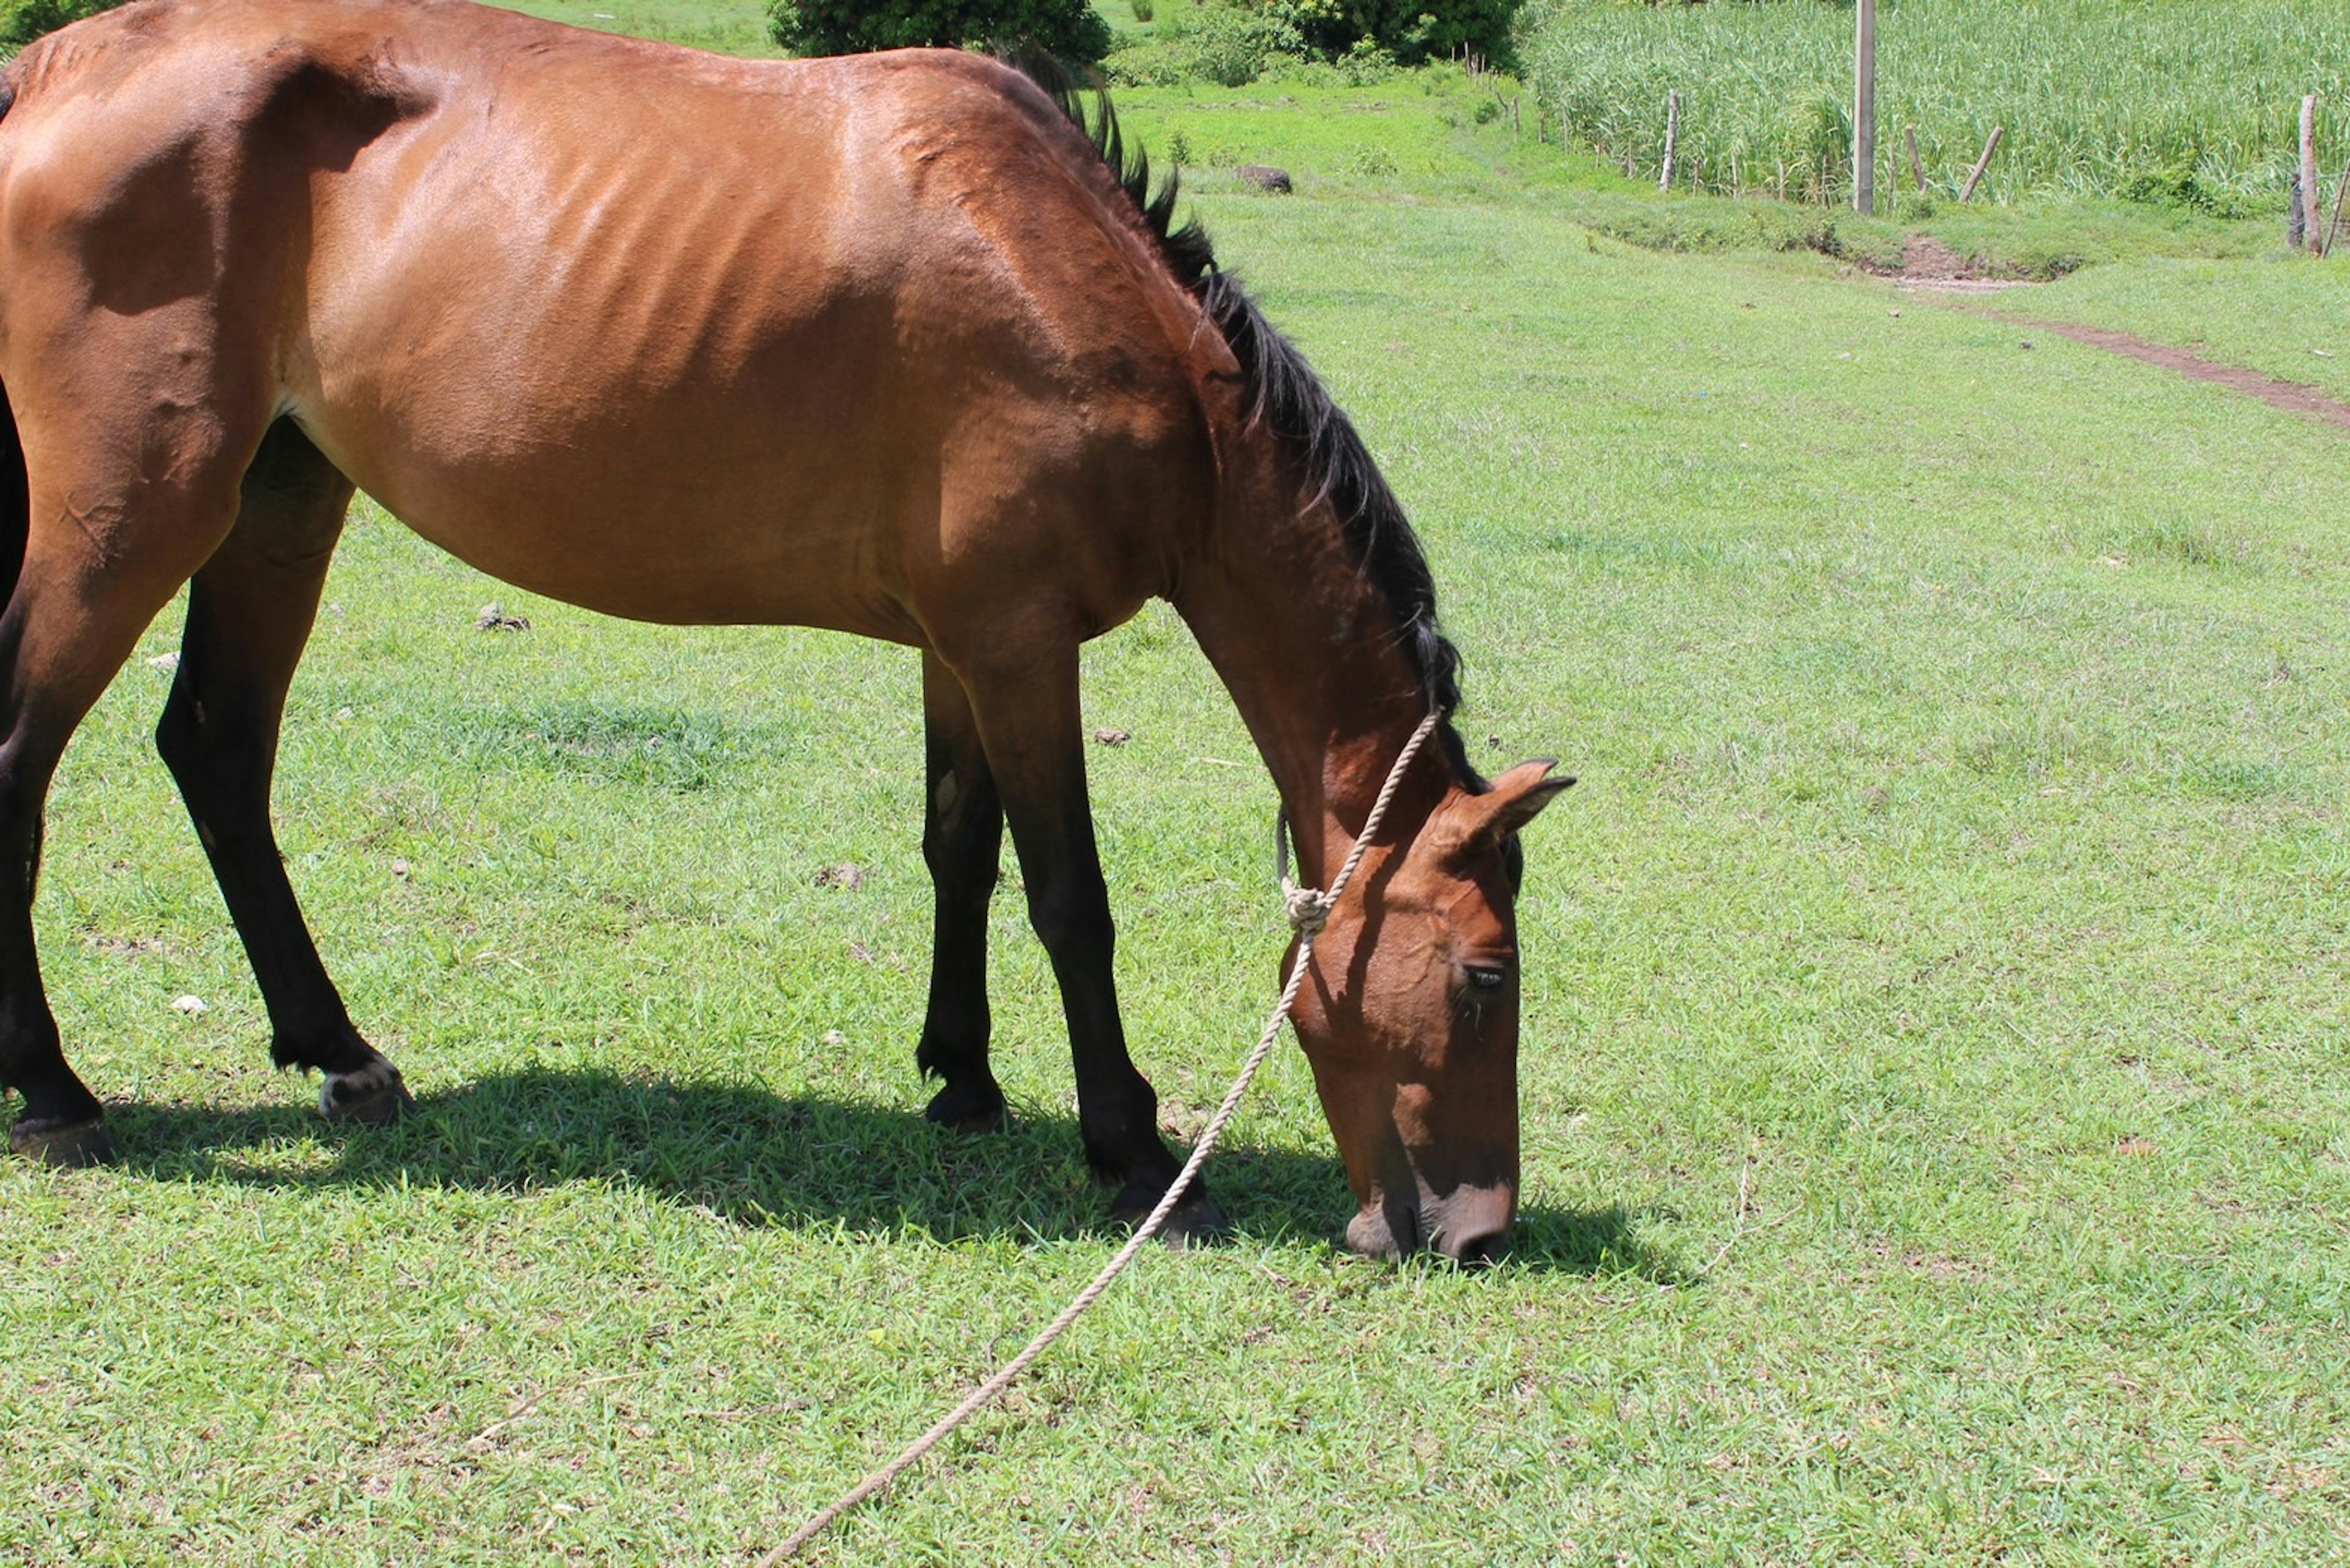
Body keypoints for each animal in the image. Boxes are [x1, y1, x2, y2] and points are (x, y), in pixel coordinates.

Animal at [4, 0, 1579, 1260]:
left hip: (279, 494)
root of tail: (58, 69)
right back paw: (56, 1095)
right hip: (132, 509)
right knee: (26, 759)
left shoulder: (964, 639)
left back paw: (337, 1052)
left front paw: (965, 1081)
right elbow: (1069, 897)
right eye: (1486, 977)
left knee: (216, 748)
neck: (1069, 279)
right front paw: (1131, 1149)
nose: (1477, 1232)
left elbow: (960, 853)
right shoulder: (1022, 644)